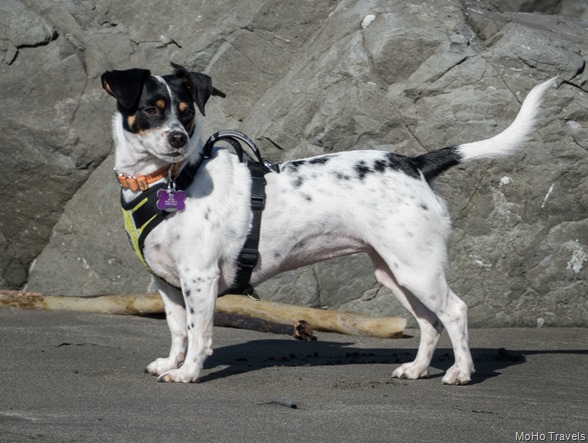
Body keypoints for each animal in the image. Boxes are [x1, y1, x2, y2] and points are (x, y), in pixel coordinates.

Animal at [103, 67, 560, 386]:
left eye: (186, 114)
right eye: (150, 109)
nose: (178, 139)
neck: (168, 181)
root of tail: (414, 163)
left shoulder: (199, 279)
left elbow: (199, 335)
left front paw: (188, 373)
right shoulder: (168, 285)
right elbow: (178, 331)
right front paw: (172, 362)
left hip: (420, 271)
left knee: (455, 312)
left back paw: (462, 372)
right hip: (395, 273)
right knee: (430, 322)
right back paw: (416, 369)